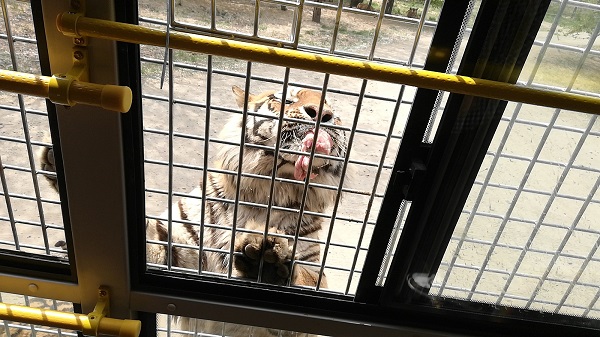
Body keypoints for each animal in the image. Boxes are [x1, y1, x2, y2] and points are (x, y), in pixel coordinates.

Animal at [39, 84, 350, 336]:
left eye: (333, 109)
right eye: (285, 98)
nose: (323, 114)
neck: (274, 186)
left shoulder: (314, 273)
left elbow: (305, 283)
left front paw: (268, 261)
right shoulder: (177, 246)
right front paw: (55, 156)